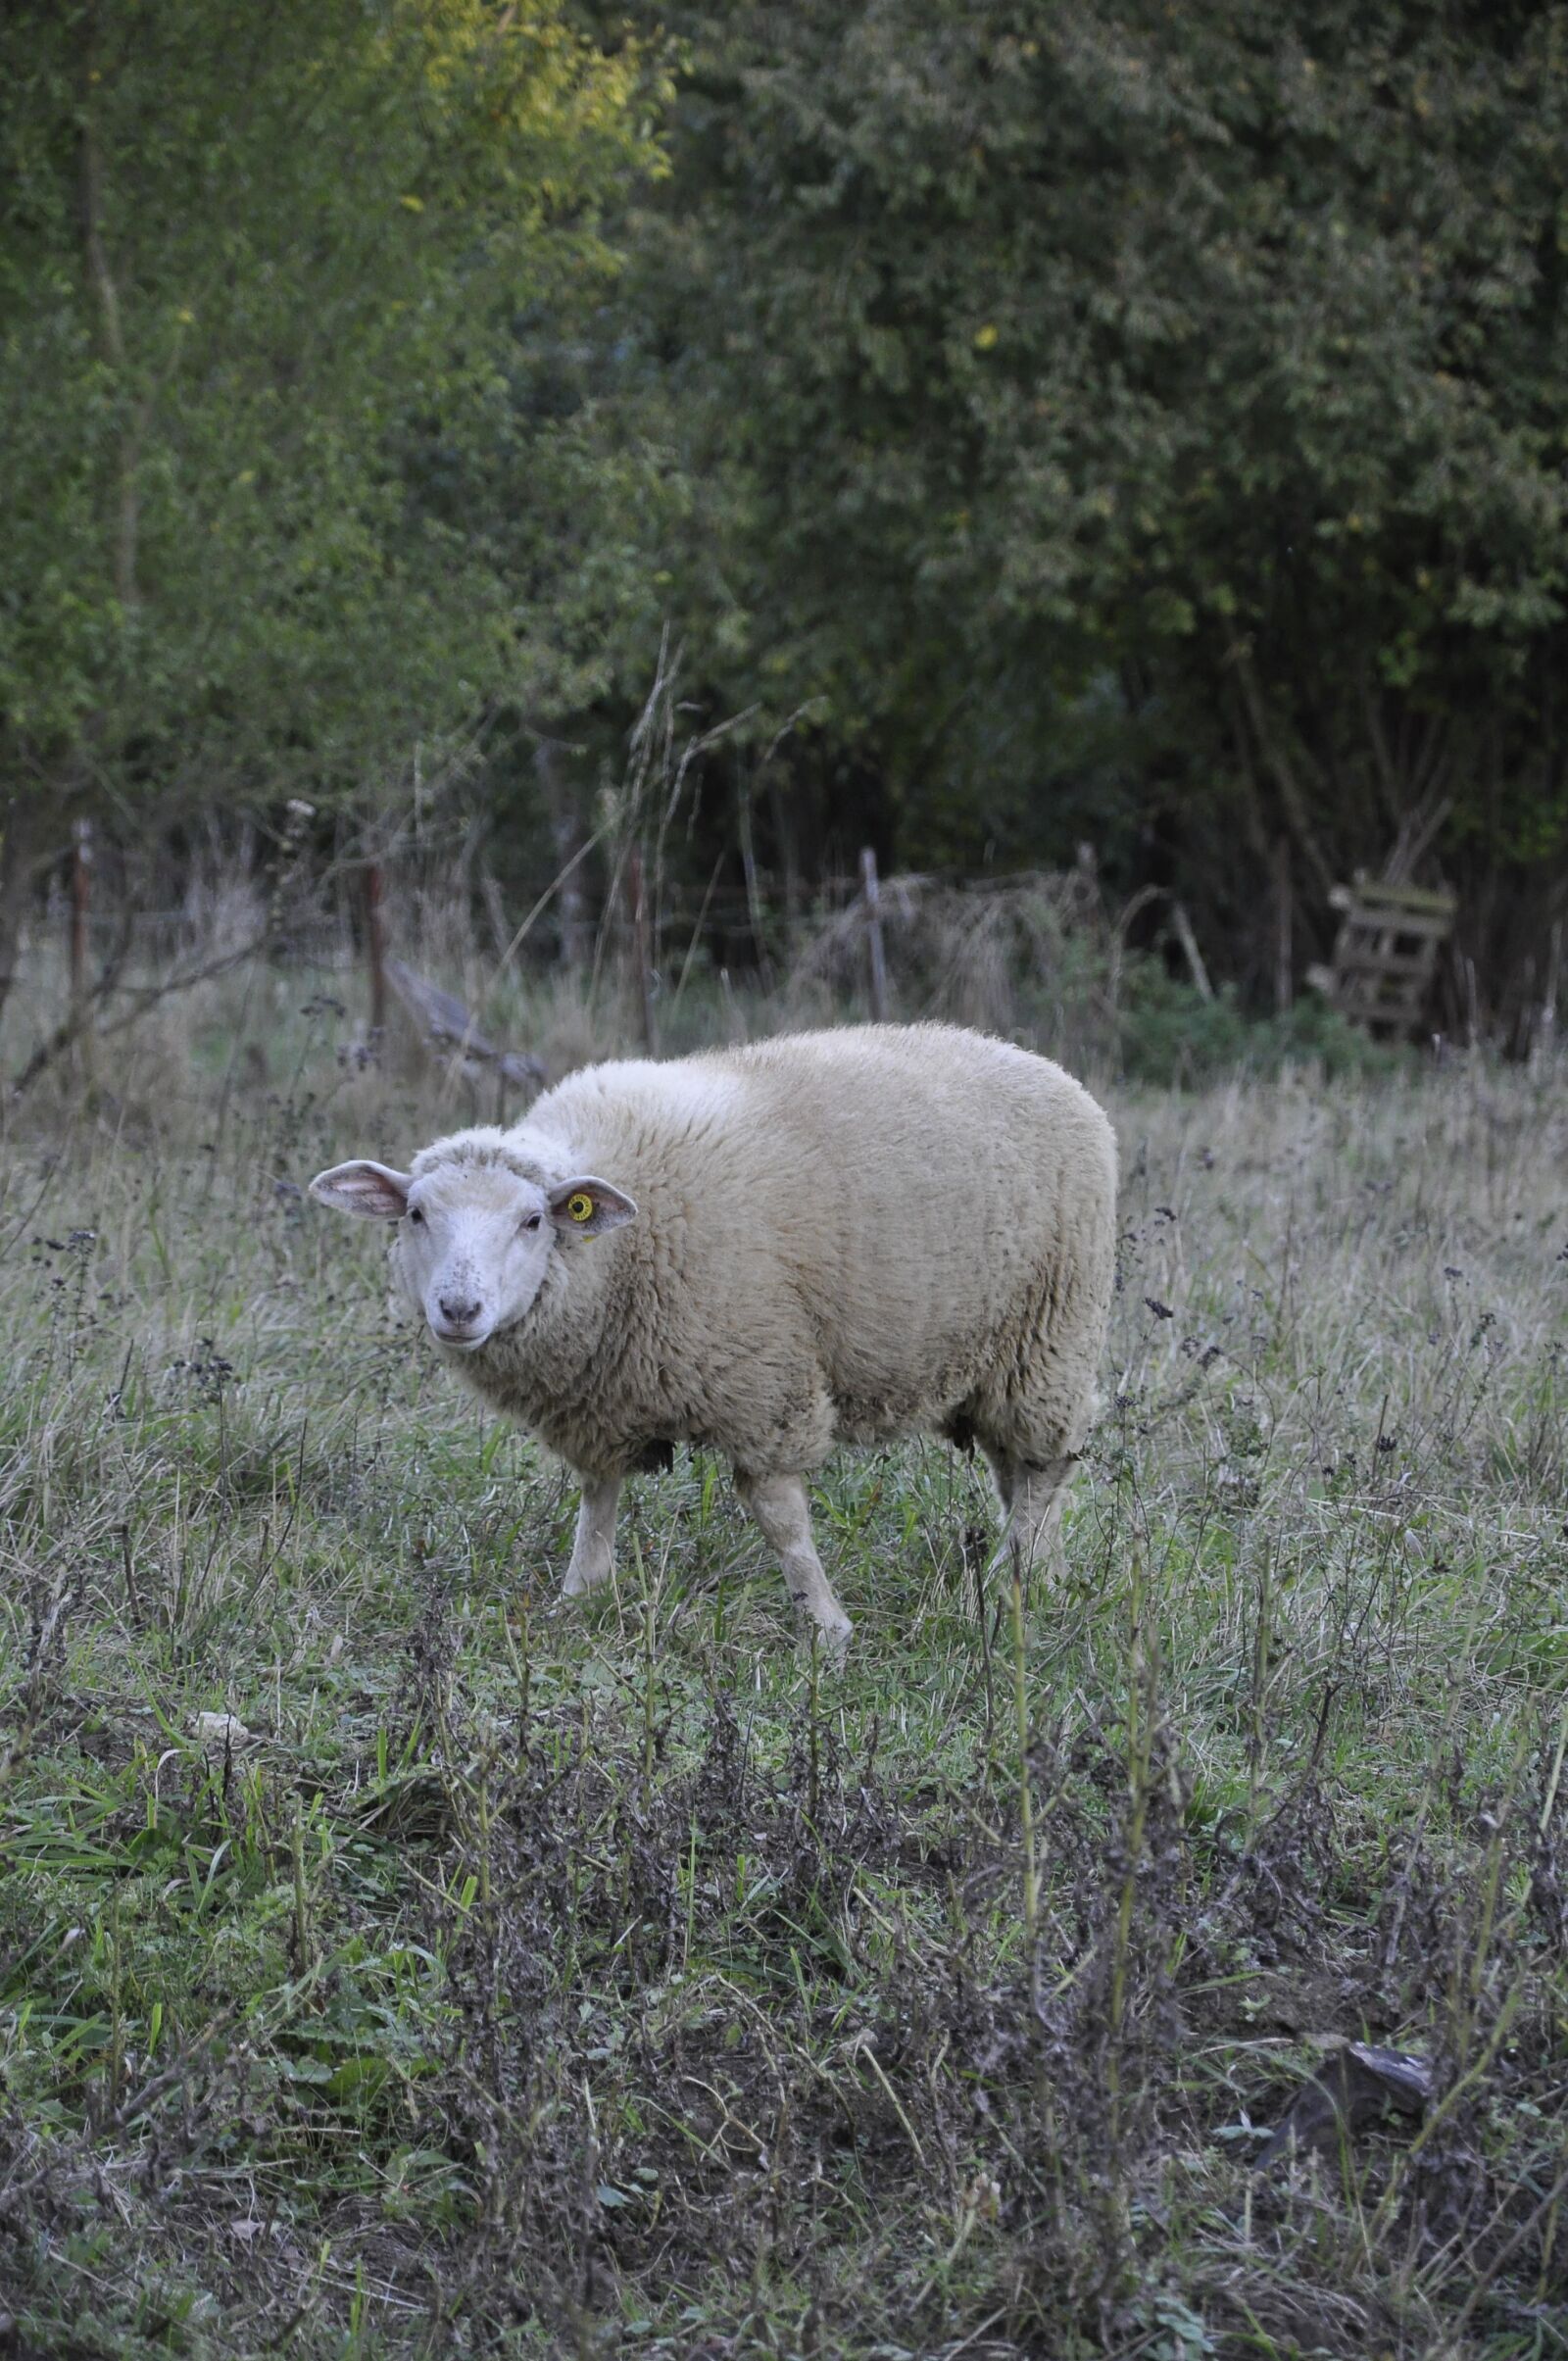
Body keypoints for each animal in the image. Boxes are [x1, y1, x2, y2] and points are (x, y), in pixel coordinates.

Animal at [309, 1023, 1117, 1651]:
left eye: (533, 1219)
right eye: (416, 1214)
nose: (458, 1307)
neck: (621, 1249)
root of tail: (1046, 1068)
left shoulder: (763, 1381)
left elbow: (780, 1517)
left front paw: (827, 1626)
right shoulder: (600, 1398)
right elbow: (597, 1497)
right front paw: (579, 1594)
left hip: (1051, 1333)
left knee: (1044, 1465)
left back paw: (1008, 1579)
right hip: (1000, 1355)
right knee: (1020, 1472)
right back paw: (1043, 1571)